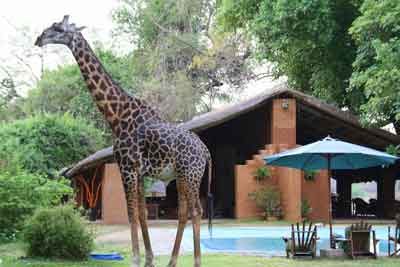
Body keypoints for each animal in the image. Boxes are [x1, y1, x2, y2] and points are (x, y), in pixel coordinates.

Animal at [35, 15, 212, 266]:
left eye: (58, 28)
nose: (39, 39)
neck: (116, 116)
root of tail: (205, 150)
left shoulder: (126, 166)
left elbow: (131, 213)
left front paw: (136, 259)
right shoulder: (138, 171)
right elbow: (142, 213)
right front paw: (149, 259)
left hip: (190, 174)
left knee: (196, 211)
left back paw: (195, 261)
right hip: (181, 176)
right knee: (185, 212)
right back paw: (172, 261)